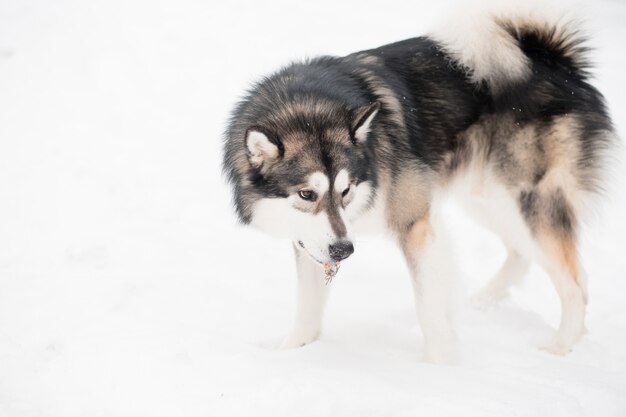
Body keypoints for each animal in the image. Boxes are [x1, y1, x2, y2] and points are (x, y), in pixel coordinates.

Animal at [222, 10, 612, 360]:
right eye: (307, 194)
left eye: (346, 191)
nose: (345, 250)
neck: (307, 105)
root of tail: (554, 59)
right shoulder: (313, 242)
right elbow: (307, 311)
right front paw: (290, 355)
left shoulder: (416, 225)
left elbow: (429, 307)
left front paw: (439, 368)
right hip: (487, 197)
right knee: (520, 254)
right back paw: (482, 303)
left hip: (524, 198)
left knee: (576, 284)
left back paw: (559, 349)